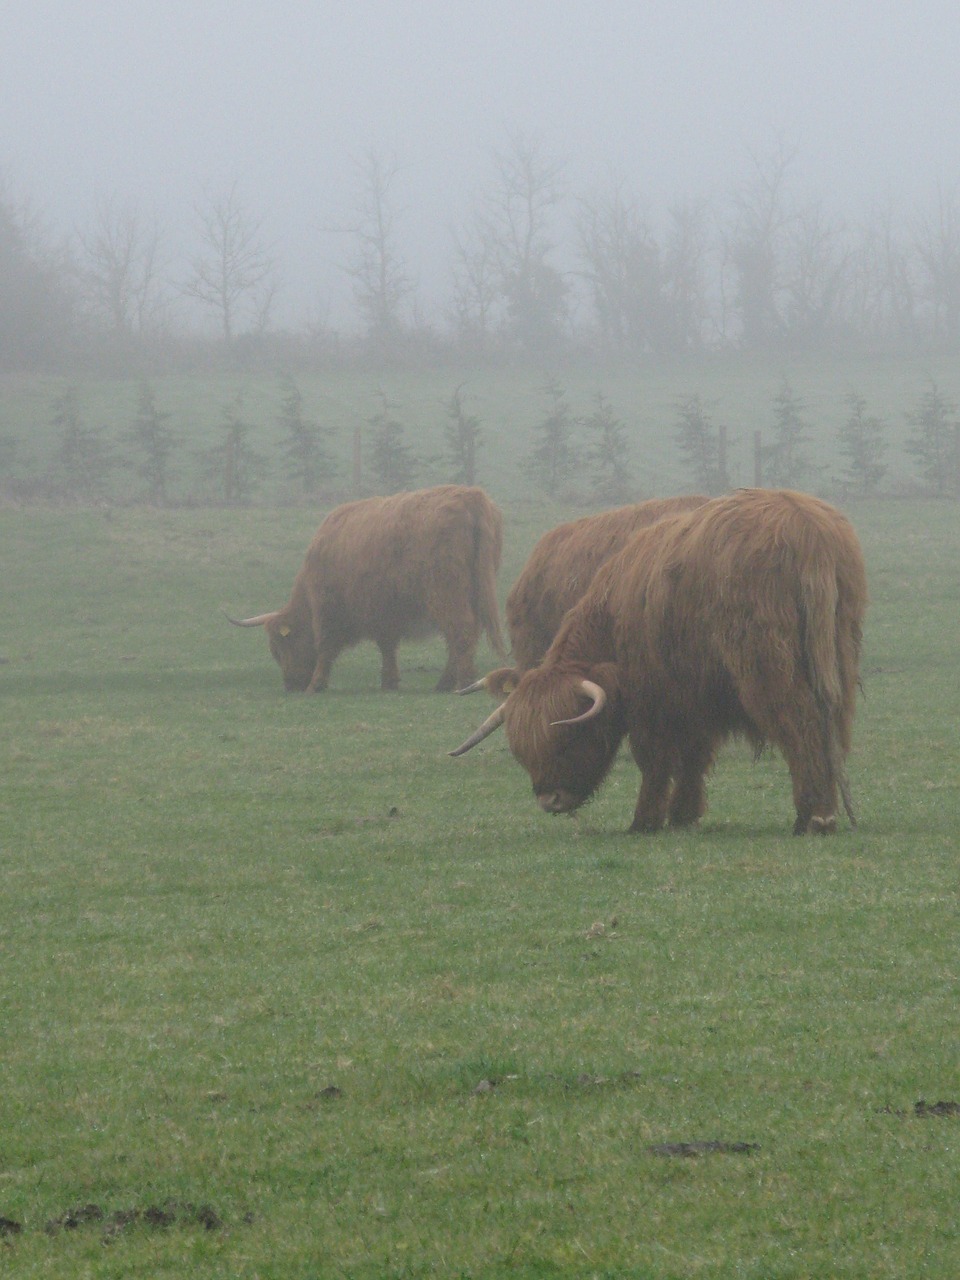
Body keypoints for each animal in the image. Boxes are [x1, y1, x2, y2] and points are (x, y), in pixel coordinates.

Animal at [229, 483, 506, 696]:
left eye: (280, 647)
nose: (291, 685)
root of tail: (471, 496)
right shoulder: (384, 613)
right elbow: (387, 646)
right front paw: (389, 681)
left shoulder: (328, 608)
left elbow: (325, 646)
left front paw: (315, 684)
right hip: (474, 591)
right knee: (464, 635)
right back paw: (446, 683)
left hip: (446, 594)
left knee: (461, 631)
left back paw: (461, 682)